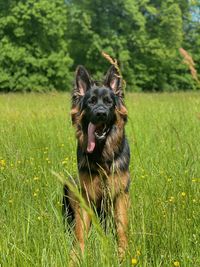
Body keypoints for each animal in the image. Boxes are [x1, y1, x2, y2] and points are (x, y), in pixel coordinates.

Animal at [63, 65, 130, 260]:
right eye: (91, 102)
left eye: (109, 102)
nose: (101, 114)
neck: (102, 156)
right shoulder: (86, 196)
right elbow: (80, 231)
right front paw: (76, 256)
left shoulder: (120, 194)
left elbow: (121, 228)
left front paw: (123, 254)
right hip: (69, 184)